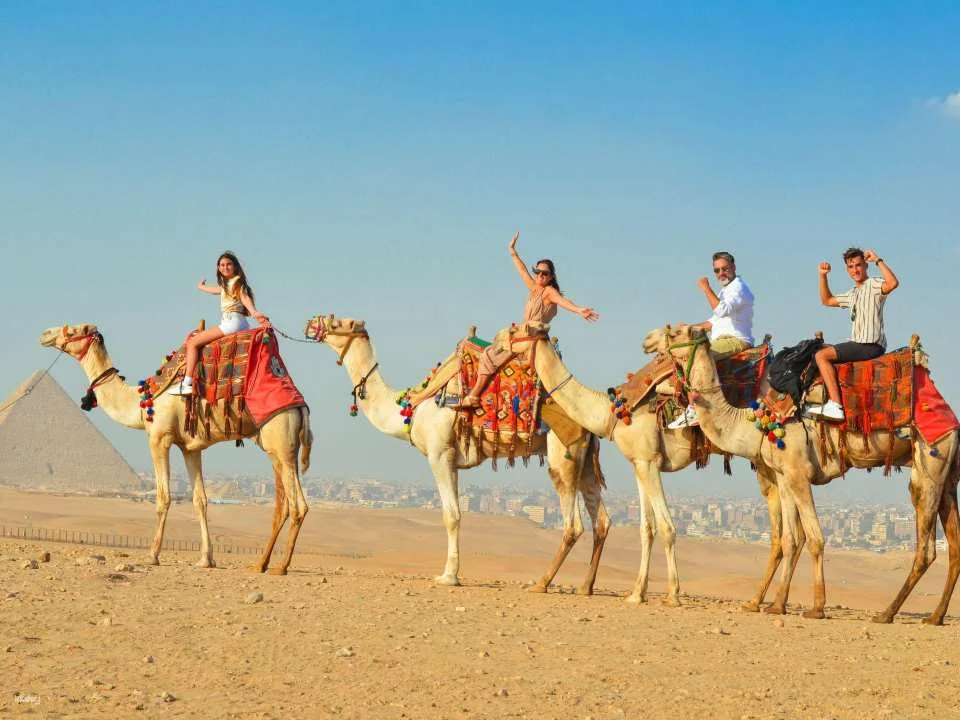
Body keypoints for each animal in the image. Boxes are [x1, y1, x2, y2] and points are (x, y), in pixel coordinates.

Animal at [40, 323, 313, 575]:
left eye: (73, 330)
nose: (45, 334)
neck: (142, 401)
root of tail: (301, 408)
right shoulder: (191, 448)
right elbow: (200, 500)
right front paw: (206, 559)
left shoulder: (159, 438)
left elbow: (164, 497)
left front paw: (152, 555)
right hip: (276, 449)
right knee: (282, 506)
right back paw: (260, 564)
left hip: (281, 441)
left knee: (298, 505)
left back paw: (281, 567)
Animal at [304, 314, 609, 592]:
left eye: (336, 322)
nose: (311, 323)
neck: (411, 407)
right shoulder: (452, 458)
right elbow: (456, 513)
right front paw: (451, 573)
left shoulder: (439, 454)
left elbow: (451, 516)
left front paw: (448, 576)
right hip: (586, 461)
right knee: (602, 521)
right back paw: (586, 586)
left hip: (562, 454)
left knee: (573, 524)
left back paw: (543, 582)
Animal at [499, 332, 797, 609]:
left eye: (517, 331)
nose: (498, 343)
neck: (612, 409)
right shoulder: (640, 463)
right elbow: (647, 528)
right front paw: (636, 593)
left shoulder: (650, 461)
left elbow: (666, 526)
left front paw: (673, 595)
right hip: (768, 466)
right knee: (786, 533)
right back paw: (762, 601)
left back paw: (774, 603)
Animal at [644, 324, 960, 624]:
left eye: (675, 331)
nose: (648, 340)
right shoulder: (784, 476)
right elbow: (791, 539)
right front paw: (777, 605)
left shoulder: (798, 473)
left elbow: (815, 538)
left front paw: (816, 607)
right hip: (947, 472)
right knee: (954, 546)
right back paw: (935, 616)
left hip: (930, 459)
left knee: (926, 544)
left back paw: (887, 613)